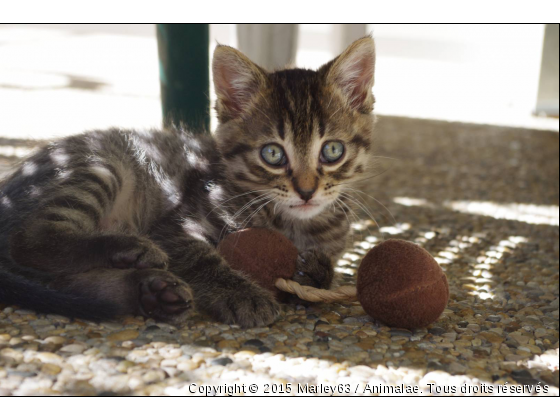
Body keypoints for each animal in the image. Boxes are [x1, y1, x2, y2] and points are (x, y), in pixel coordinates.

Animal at [0, 36, 378, 326]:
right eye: (272, 154)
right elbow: (201, 258)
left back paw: (151, 293)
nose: (306, 191)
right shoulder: (176, 225)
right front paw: (241, 293)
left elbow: (326, 266)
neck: (294, 225)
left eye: (332, 150)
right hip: (99, 168)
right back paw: (131, 253)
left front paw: (314, 270)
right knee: (30, 241)